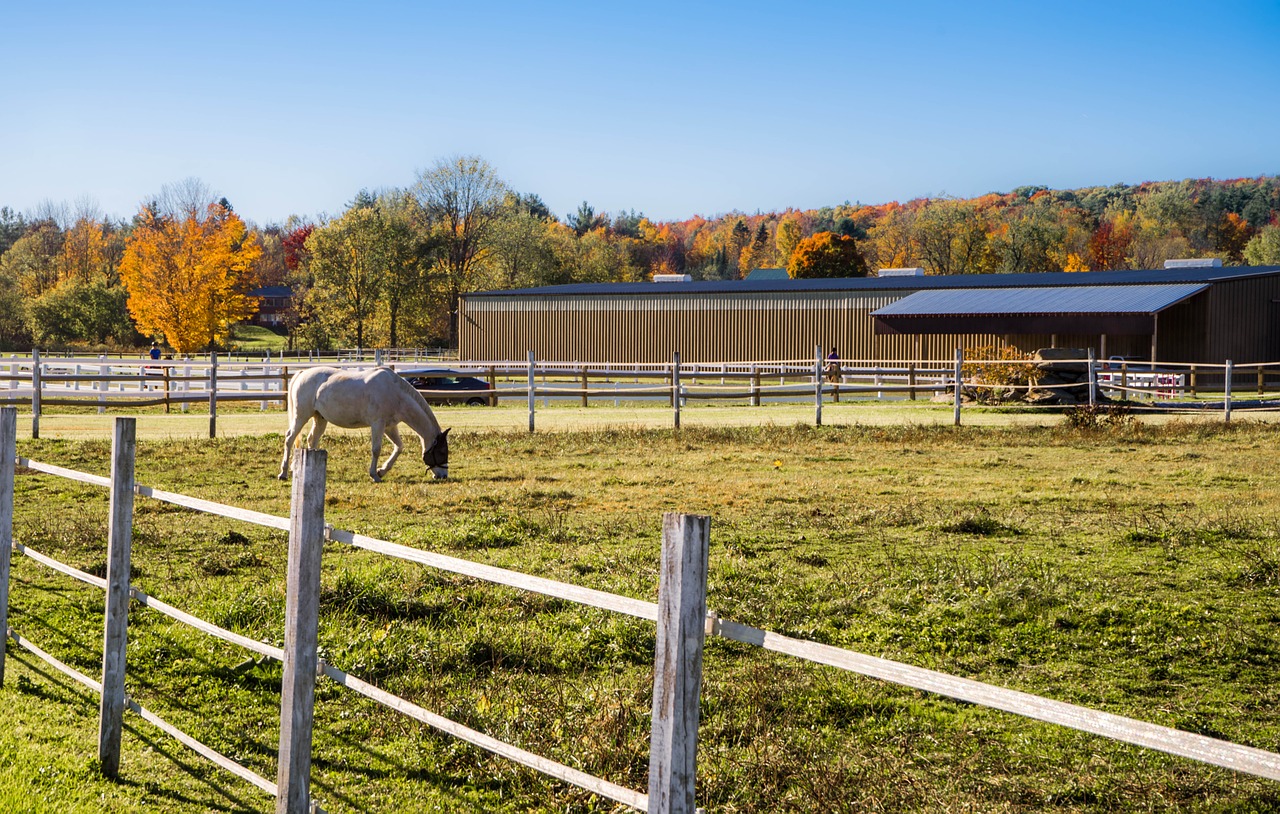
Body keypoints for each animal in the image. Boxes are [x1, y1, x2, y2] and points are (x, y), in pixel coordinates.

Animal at [276, 368, 450, 483]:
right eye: (442, 451)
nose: (443, 475)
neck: (395, 392)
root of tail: (301, 373)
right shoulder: (378, 424)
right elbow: (376, 449)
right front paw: (374, 474)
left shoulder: (389, 426)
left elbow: (399, 447)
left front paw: (381, 471)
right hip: (301, 416)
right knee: (290, 439)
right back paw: (283, 473)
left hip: (320, 418)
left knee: (312, 439)